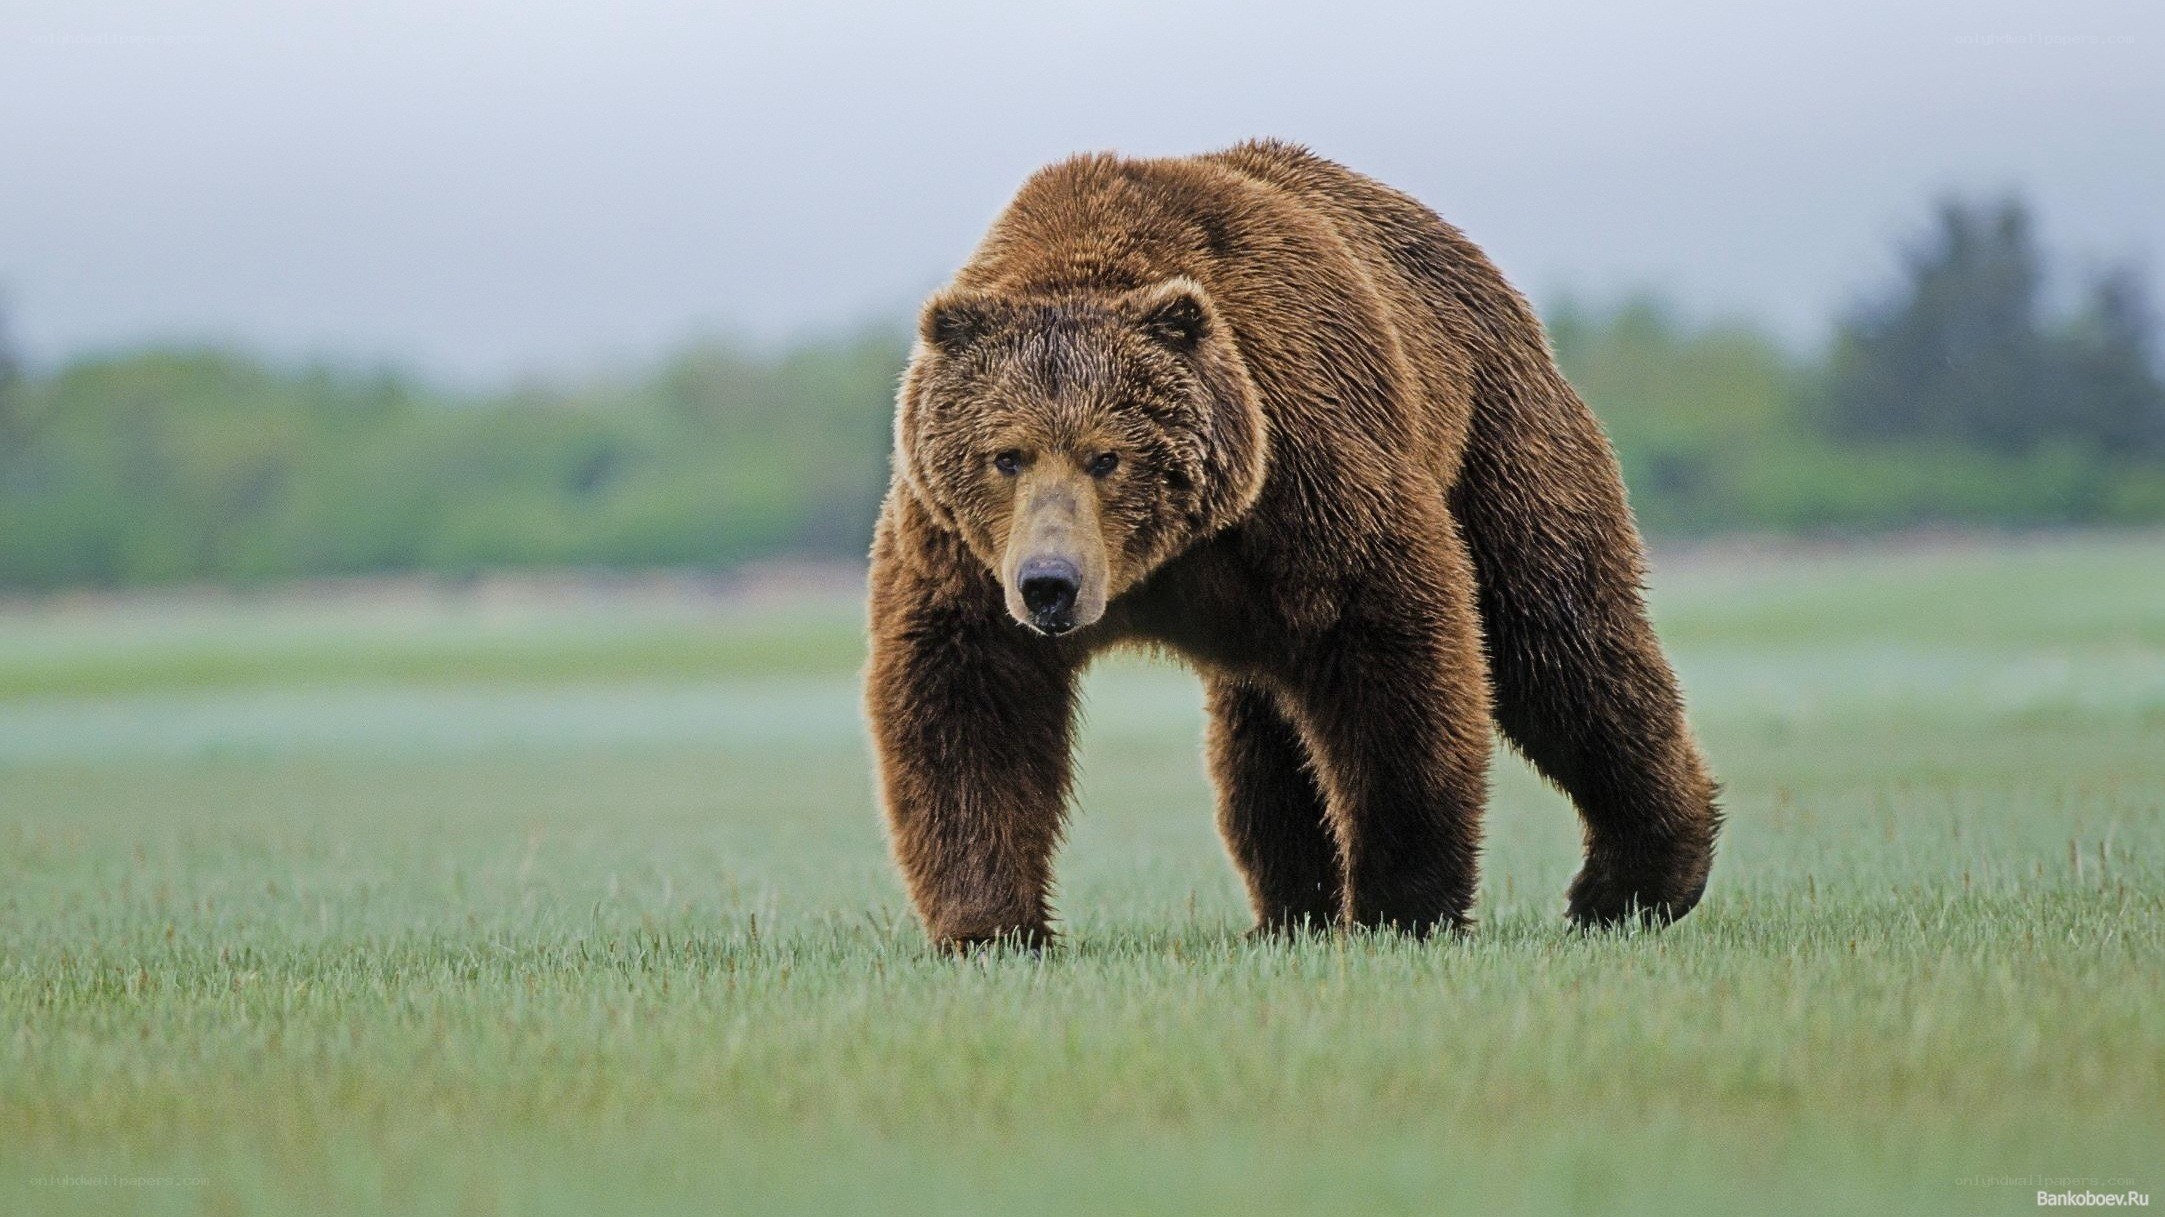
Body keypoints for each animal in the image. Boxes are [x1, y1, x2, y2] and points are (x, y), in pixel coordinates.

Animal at [865, 140, 1720, 949]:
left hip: (1496, 433)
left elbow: (1396, 659)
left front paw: (1400, 905)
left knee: (1560, 640)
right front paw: (990, 925)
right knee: (1264, 736)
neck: (1166, 558)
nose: (1050, 583)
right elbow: (969, 702)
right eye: (1006, 454)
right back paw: (1290, 908)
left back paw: (1633, 881)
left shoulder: (1307, 473)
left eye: (1106, 455)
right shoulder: (962, 552)